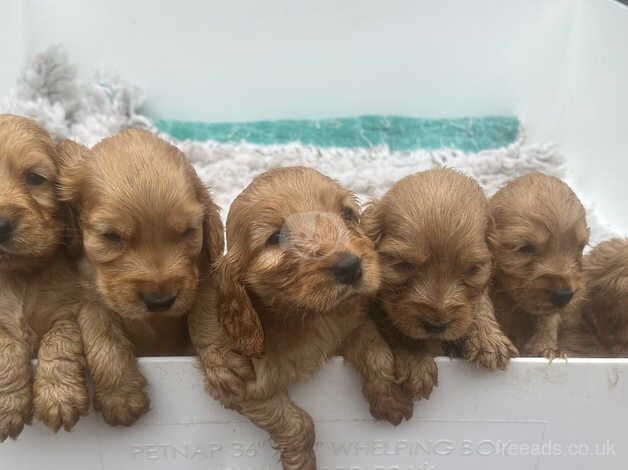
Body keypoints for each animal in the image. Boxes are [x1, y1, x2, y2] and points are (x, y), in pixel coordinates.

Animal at [0, 114, 89, 440]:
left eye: (35, 178)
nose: (0, 225)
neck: (18, 277)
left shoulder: (70, 309)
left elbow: (60, 340)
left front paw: (59, 397)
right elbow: (6, 347)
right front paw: (8, 405)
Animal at [57, 129, 223, 426]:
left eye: (188, 231)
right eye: (111, 236)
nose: (160, 301)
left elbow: (206, 301)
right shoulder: (85, 292)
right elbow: (96, 321)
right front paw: (121, 396)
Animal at [190, 167, 418, 468]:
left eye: (347, 213)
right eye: (276, 238)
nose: (350, 267)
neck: (308, 317)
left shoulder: (349, 325)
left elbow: (378, 354)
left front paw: (389, 399)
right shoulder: (245, 386)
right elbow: (296, 422)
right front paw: (301, 462)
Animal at [360, 169, 516, 400]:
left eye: (473, 268)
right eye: (403, 264)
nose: (436, 326)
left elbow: (480, 305)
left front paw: (488, 339)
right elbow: (398, 329)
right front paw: (415, 362)